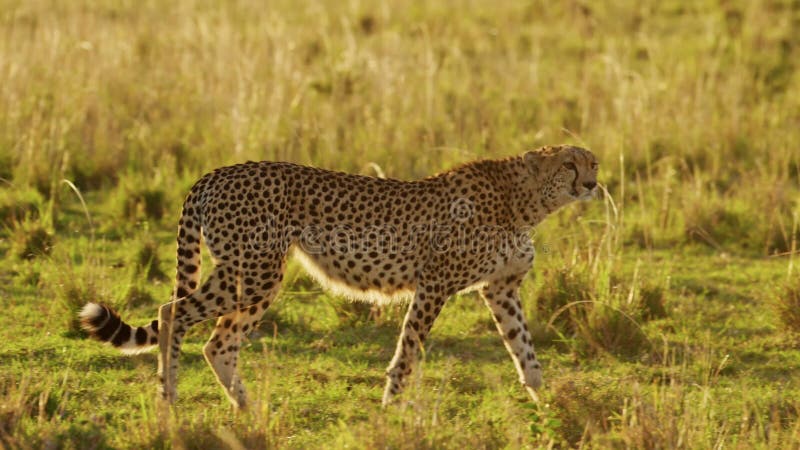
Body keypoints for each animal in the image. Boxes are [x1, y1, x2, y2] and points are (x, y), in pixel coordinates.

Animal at [81, 143, 600, 408]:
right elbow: (409, 349)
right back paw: (169, 400)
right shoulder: (435, 284)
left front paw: (547, 405)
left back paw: (246, 409)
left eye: (591, 162)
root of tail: (217, 172)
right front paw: (391, 408)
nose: (593, 183)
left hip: (249, 276)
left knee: (213, 339)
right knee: (176, 313)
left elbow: (525, 352)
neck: (526, 199)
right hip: (253, 273)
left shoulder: (500, 290)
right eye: (568, 165)